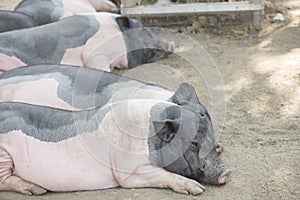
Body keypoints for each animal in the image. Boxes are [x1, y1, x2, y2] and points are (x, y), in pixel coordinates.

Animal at [0, 82, 230, 195]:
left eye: (211, 136)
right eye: (194, 143)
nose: (226, 172)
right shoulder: (129, 170)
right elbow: (160, 174)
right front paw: (197, 190)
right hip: (3, 154)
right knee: (4, 181)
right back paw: (37, 190)